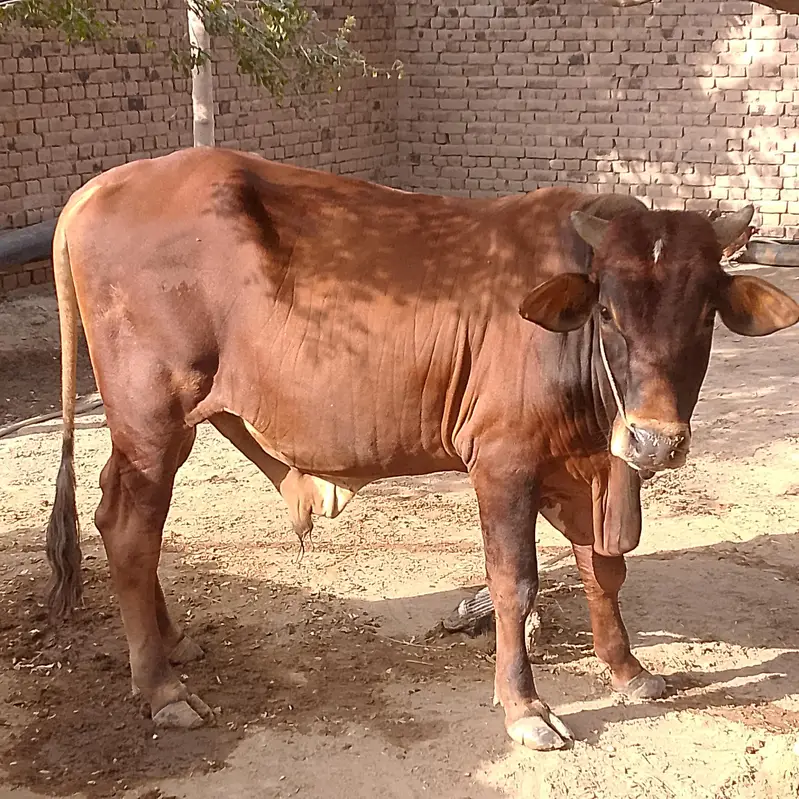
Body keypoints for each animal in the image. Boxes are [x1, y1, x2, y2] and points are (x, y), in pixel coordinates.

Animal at [45, 147, 799, 750]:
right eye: (608, 312)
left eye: (704, 314)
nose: (654, 439)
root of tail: (102, 186)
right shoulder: (503, 464)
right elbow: (513, 582)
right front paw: (524, 707)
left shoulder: (591, 468)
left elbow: (602, 569)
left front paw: (627, 670)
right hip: (151, 417)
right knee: (129, 527)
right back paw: (161, 687)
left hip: (171, 428)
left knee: (128, 522)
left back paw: (172, 645)